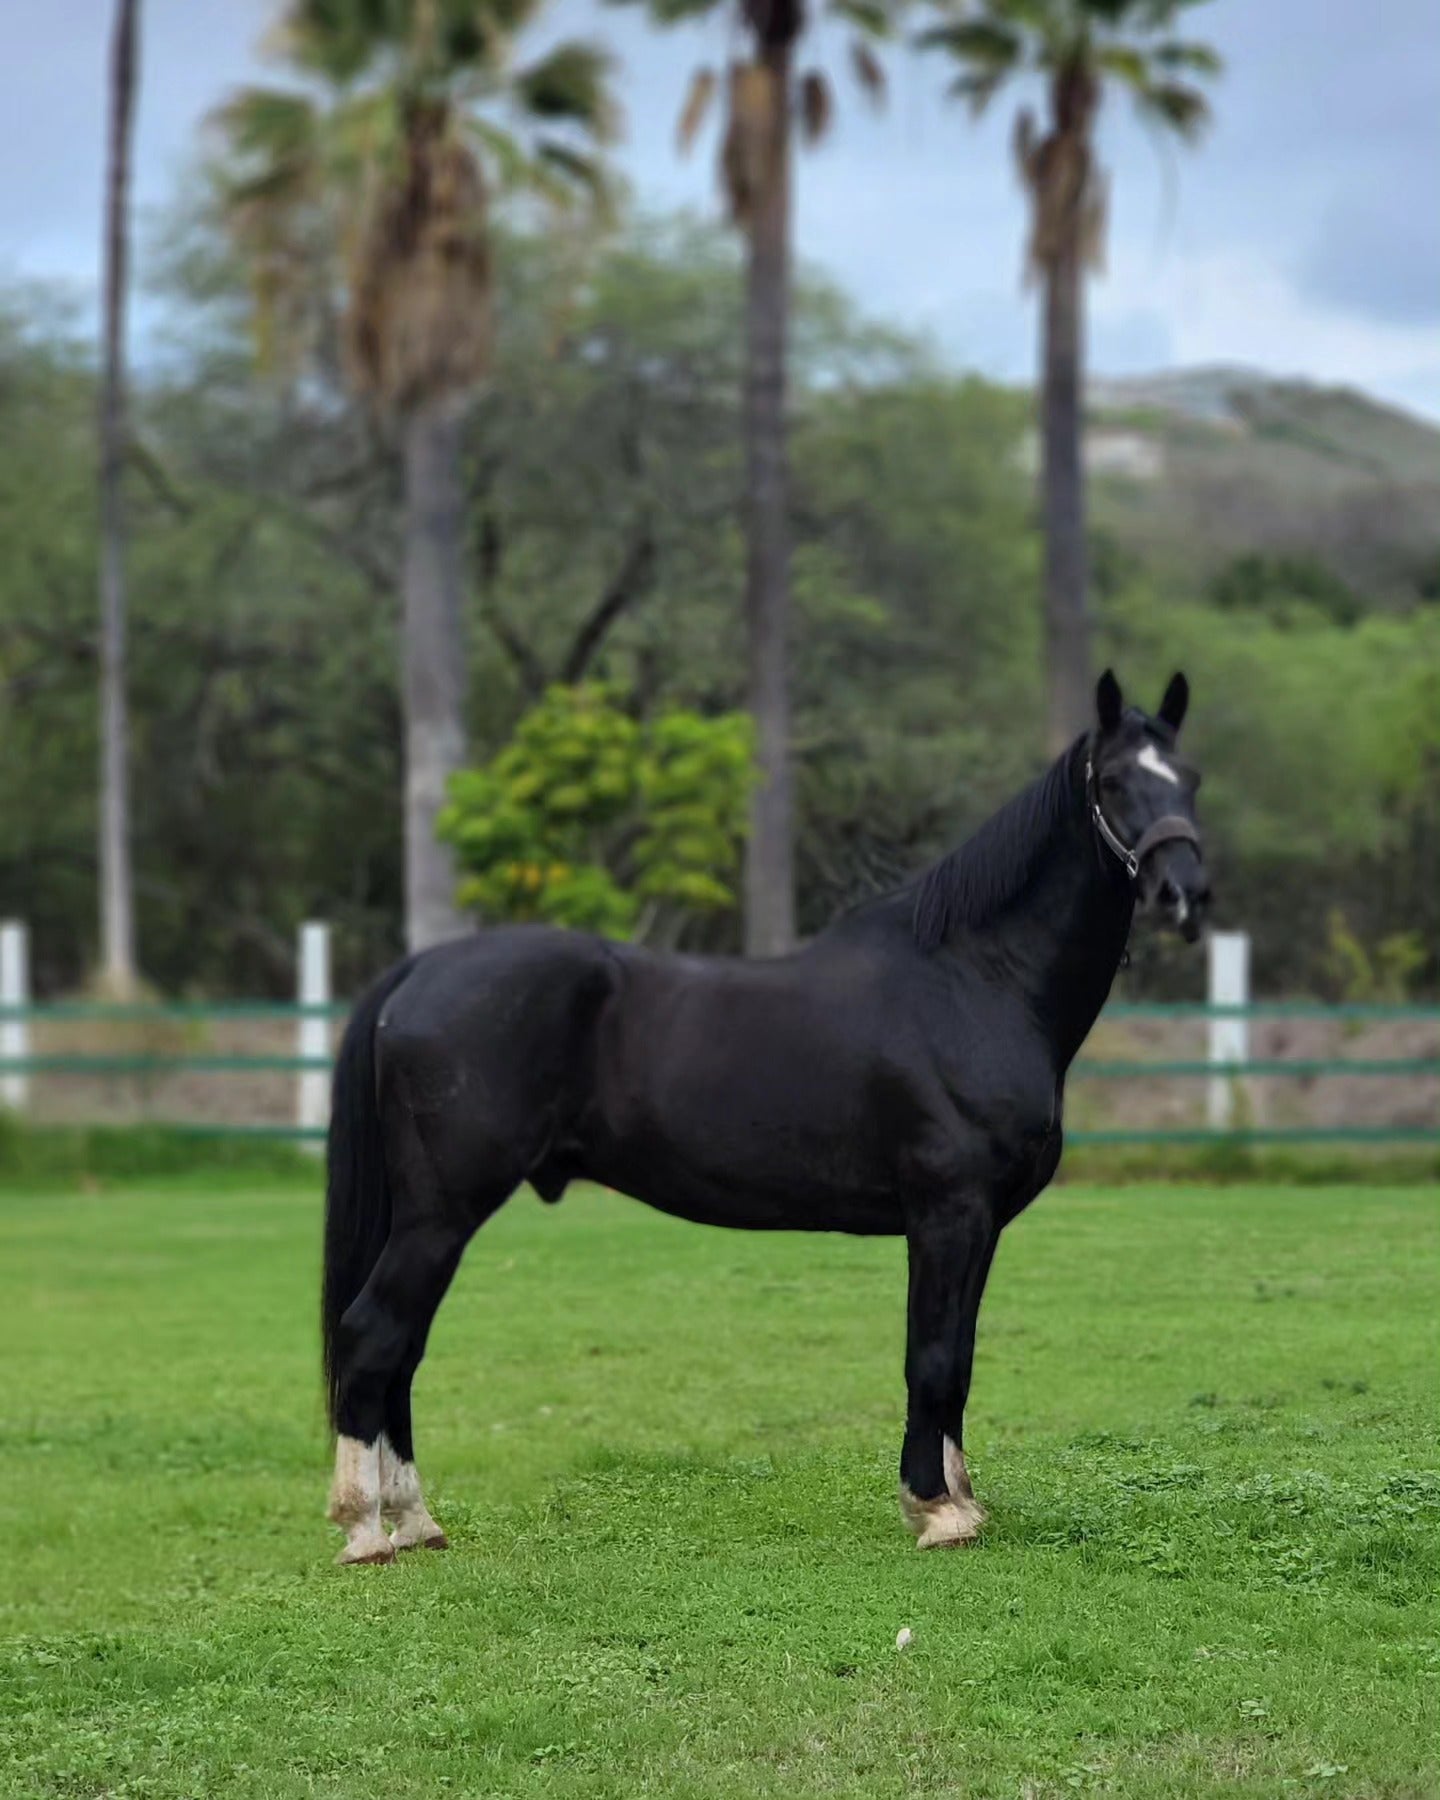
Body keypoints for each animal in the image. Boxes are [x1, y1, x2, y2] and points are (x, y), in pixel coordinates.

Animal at [321, 669, 1209, 1563]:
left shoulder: (980, 1224)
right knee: (372, 1336)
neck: (974, 979)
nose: (1187, 895)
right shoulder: (947, 1213)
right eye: (1112, 781)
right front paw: (935, 1509)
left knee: (402, 1350)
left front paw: (960, 1502)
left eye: (1191, 779)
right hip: (442, 1213)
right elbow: (930, 1358)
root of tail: (421, 971)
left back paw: (415, 1520)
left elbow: (956, 1359)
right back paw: (367, 1527)